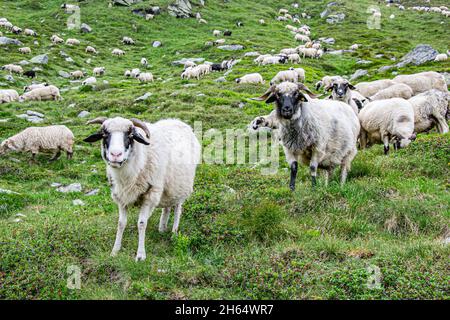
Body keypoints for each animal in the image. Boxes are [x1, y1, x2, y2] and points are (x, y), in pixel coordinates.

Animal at [82, 116, 200, 262]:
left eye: (130, 135)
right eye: (105, 135)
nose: (116, 154)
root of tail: (178, 121)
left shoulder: (149, 196)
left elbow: (142, 223)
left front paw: (140, 255)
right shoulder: (121, 197)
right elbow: (121, 223)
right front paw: (115, 250)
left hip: (180, 186)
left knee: (178, 209)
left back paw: (174, 232)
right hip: (166, 189)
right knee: (167, 207)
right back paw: (162, 228)